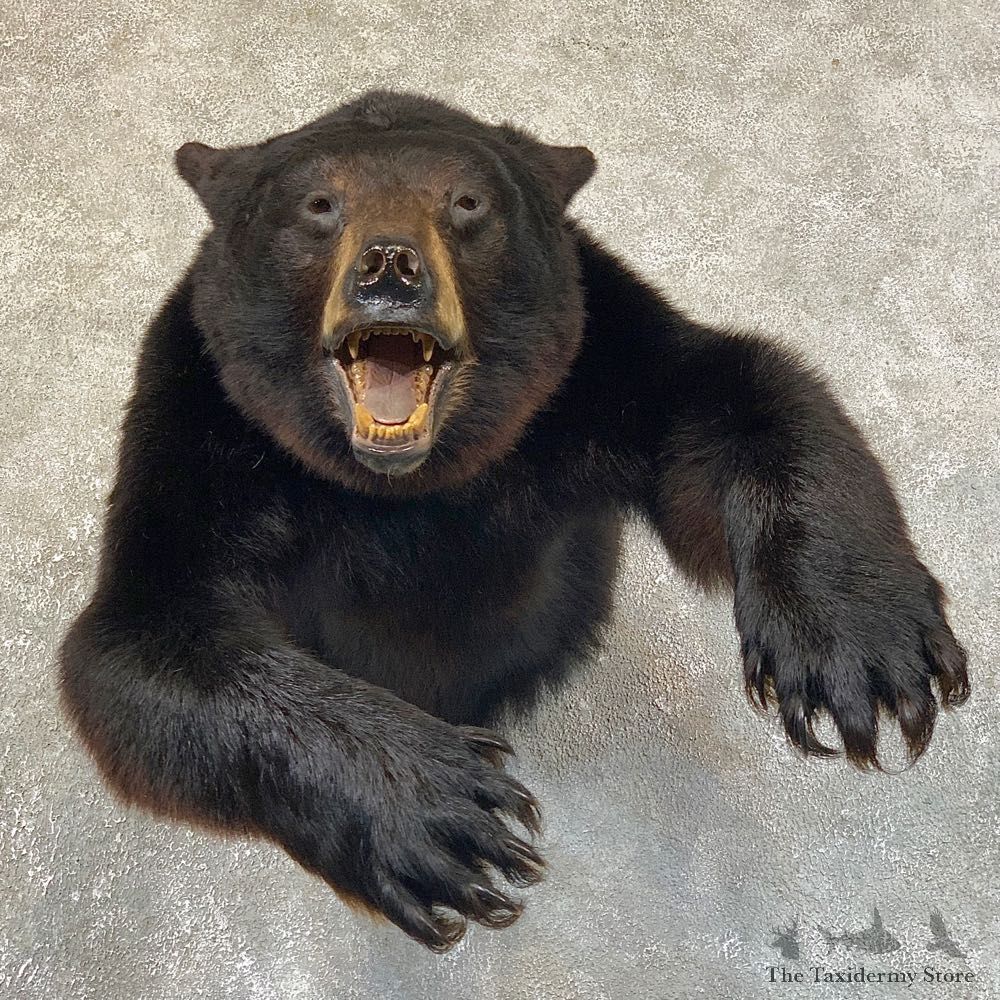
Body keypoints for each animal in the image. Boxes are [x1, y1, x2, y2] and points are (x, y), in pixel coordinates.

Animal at [59, 90, 969, 952]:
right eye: (320, 204)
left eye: (466, 202)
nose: (391, 266)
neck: (407, 486)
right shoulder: (204, 435)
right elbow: (144, 639)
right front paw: (443, 812)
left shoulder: (589, 370)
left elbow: (734, 394)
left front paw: (861, 652)